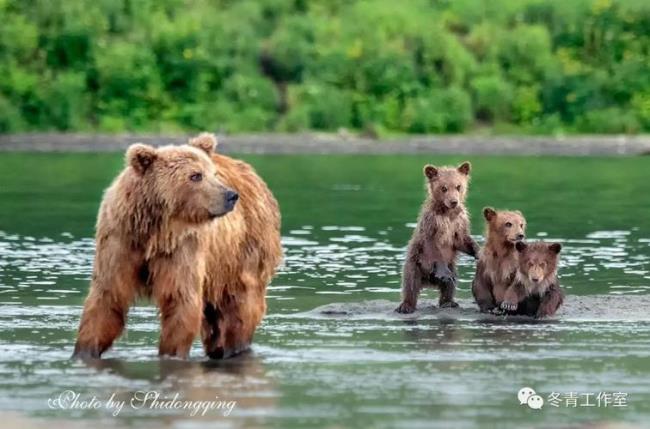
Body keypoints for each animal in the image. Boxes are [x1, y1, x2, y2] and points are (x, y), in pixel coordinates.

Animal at [73, 133, 280, 358]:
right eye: (196, 176)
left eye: (214, 174)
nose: (231, 196)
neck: (155, 231)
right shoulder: (121, 241)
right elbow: (108, 298)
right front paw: (84, 351)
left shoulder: (182, 247)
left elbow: (180, 300)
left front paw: (170, 353)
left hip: (240, 253)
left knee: (240, 307)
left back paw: (232, 346)